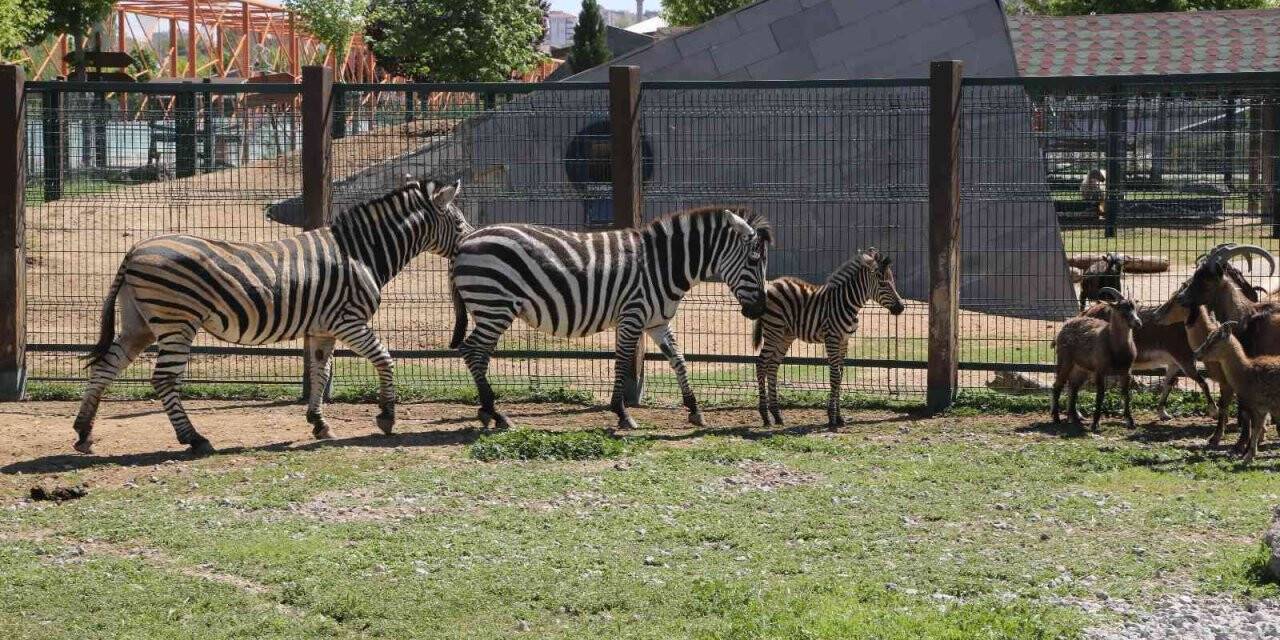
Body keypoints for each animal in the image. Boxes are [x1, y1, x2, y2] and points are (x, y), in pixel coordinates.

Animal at [72, 177, 474, 454]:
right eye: (459, 223)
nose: (471, 243)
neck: (362, 253)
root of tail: (134, 250)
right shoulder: (349, 321)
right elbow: (385, 359)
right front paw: (387, 416)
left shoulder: (324, 328)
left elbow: (320, 373)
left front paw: (319, 423)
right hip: (177, 322)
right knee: (164, 379)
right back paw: (195, 439)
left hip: (139, 323)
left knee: (106, 367)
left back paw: (83, 432)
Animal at [449, 206, 771, 431]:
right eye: (754, 260)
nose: (758, 310)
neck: (662, 266)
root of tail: (465, 241)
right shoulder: (632, 316)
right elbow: (622, 362)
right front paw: (622, 413)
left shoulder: (657, 322)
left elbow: (679, 360)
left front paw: (694, 409)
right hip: (495, 305)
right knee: (472, 351)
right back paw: (495, 412)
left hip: (491, 308)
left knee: (477, 353)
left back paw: (488, 411)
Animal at [752, 248, 905, 429]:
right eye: (883, 284)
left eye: (892, 282)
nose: (901, 308)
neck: (847, 303)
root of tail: (773, 284)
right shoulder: (832, 338)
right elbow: (835, 376)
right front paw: (832, 417)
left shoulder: (844, 341)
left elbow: (840, 375)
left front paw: (839, 417)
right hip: (773, 330)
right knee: (761, 363)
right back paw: (765, 416)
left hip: (785, 335)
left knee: (772, 366)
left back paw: (777, 415)